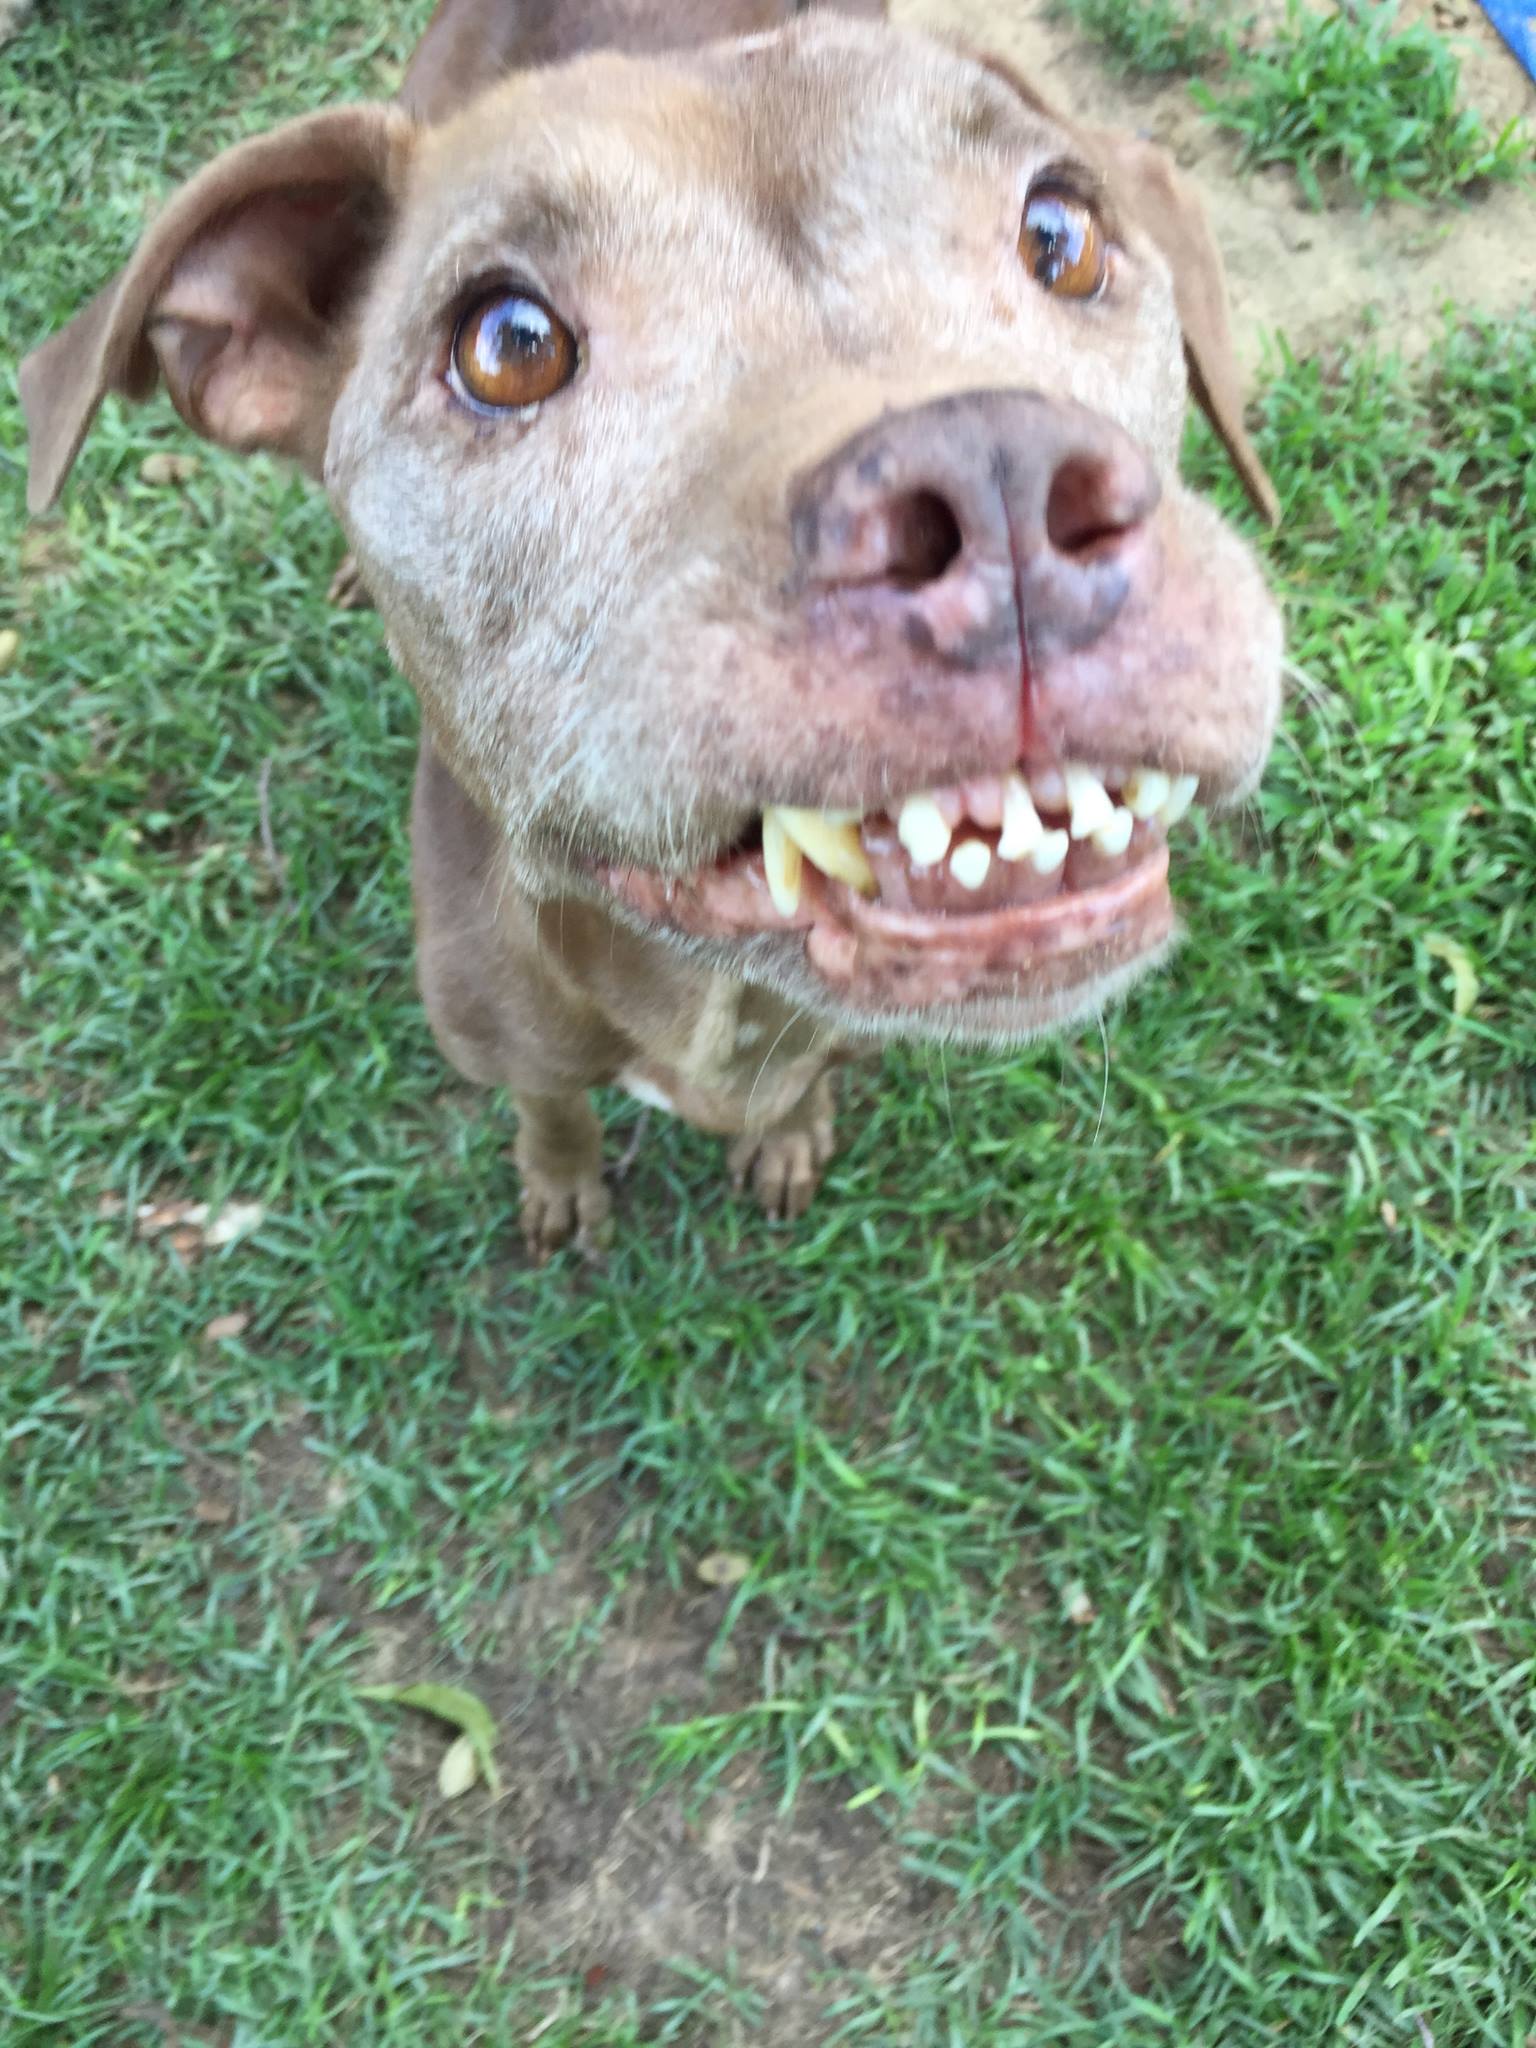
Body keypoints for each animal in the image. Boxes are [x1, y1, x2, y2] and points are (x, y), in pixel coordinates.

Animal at [20, 0, 1286, 1253]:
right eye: (508, 344)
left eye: (1061, 234)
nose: (995, 474)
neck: (712, 989)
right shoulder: (505, 1039)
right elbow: (551, 1103)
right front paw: (561, 1183)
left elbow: (805, 1078)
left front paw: (784, 1136)